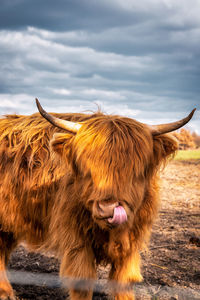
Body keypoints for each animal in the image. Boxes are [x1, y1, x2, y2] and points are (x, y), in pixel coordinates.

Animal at [0, 99, 195, 298]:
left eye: (134, 169)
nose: (108, 208)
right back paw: (5, 293)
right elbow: (82, 280)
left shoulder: (133, 239)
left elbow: (124, 280)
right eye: (86, 167)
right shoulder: (76, 237)